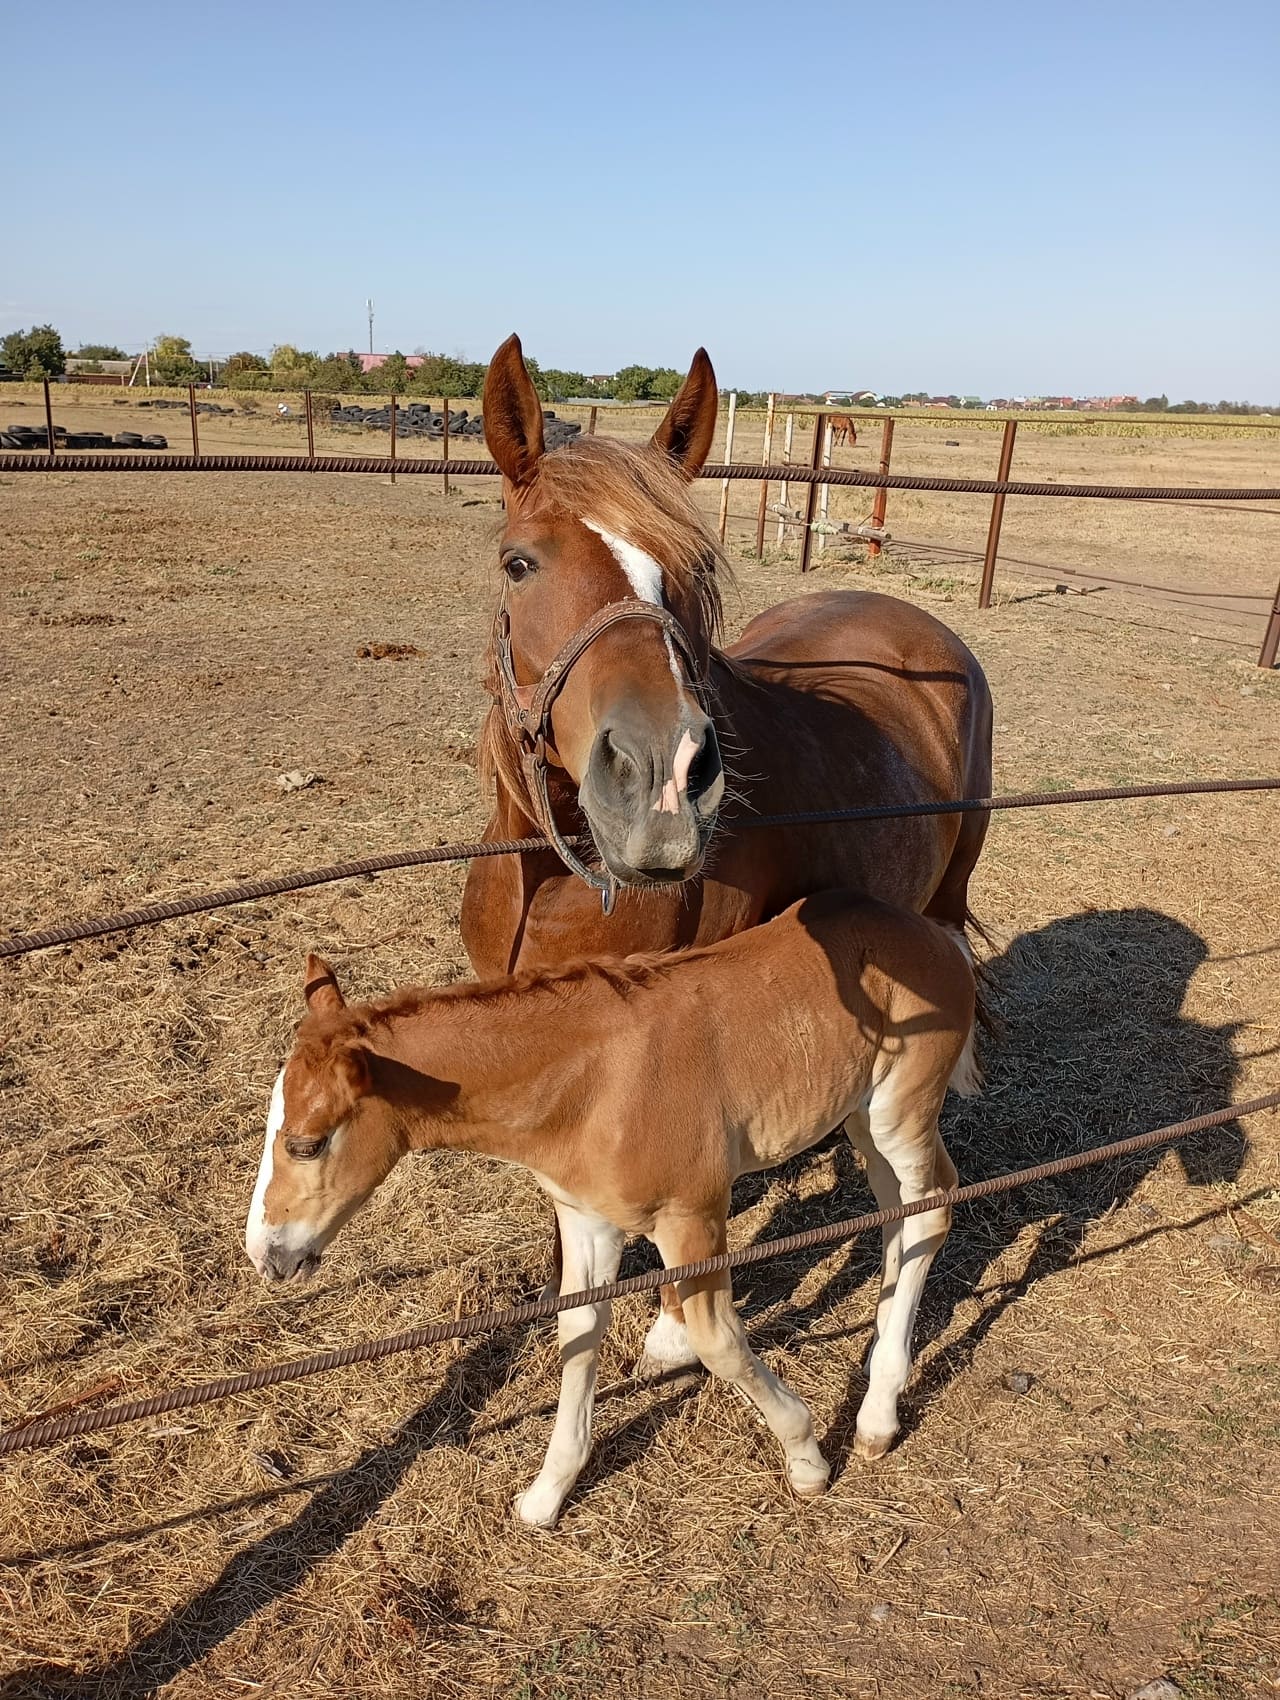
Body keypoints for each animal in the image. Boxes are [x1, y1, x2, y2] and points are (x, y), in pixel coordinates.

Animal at [245, 901, 976, 1526]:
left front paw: (806, 1461)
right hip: (860, 1116)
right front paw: (546, 1494)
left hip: (900, 1112)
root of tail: (937, 933)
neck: (595, 1084)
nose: (266, 1253)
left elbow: (717, 1343)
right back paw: (882, 1360)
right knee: (896, 1215)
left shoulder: (694, 1216)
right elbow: (577, 1330)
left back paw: (876, 1416)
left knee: (932, 1208)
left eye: (305, 1143)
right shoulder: (586, 1217)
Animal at [457, 335, 991, 1377]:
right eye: (518, 562)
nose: (662, 779)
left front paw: (667, 1330)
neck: (552, 880)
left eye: (692, 570)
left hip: (947, 895)